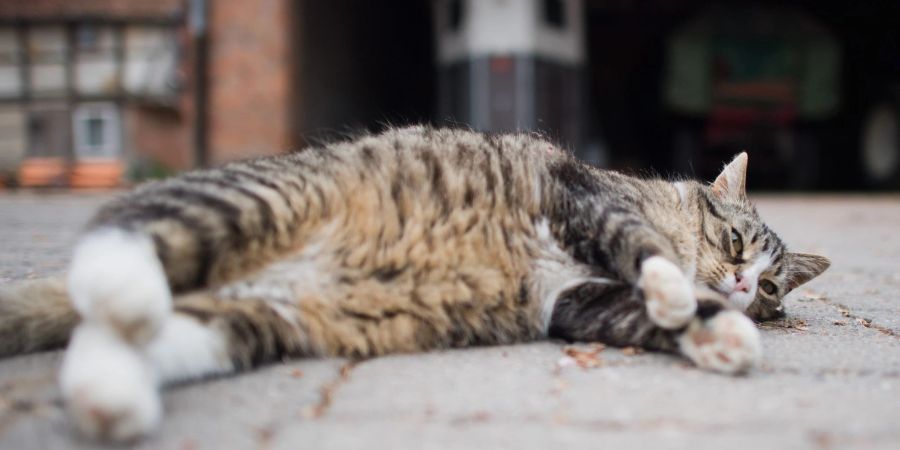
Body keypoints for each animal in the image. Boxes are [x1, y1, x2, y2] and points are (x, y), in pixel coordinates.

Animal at [0, 125, 828, 442]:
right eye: (735, 243)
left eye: (775, 289)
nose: (746, 287)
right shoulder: (581, 195)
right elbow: (645, 250)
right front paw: (686, 295)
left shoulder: (571, 303)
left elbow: (641, 316)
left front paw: (722, 335)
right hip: (246, 203)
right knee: (115, 235)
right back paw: (126, 293)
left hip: (250, 323)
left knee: (109, 334)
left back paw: (109, 398)